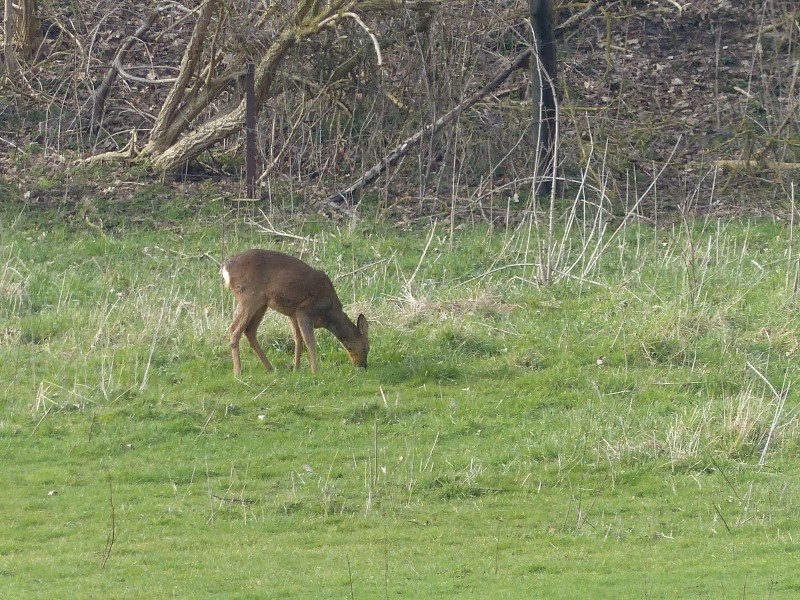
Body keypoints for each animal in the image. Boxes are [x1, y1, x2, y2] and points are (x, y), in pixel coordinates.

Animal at [219, 248, 368, 376]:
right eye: (366, 348)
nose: (363, 365)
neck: (329, 314)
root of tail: (226, 268)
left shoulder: (293, 313)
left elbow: (298, 338)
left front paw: (297, 368)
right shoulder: (305, 309)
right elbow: (310, 340)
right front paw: (315, 371)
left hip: (261, 303)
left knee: (249, 330)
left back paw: (270, 368)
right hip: (249, 296)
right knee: (234, 329)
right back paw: (238, 372)